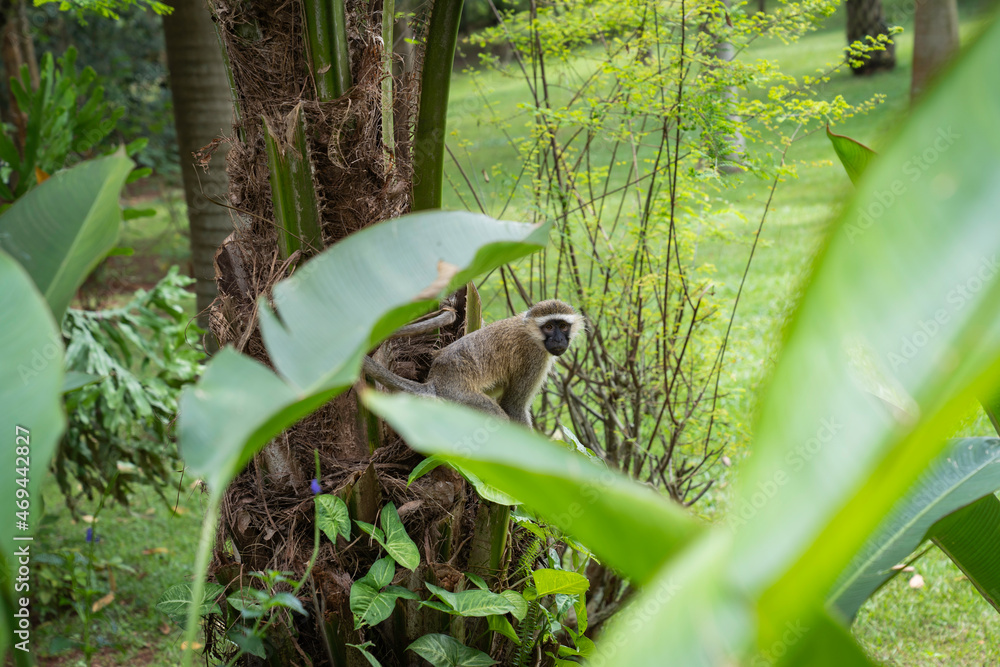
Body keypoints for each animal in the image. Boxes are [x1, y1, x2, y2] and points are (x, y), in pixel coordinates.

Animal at [362, 299, 584, 428]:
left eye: (563, 326)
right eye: (549, 327)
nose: (558, 339)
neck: (531, 333)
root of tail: (436, 381)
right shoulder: (534, 358)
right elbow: (513, 407)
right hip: (459, 398)